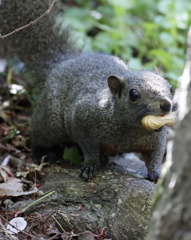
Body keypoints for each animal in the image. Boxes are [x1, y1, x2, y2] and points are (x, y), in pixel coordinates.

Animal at [0, 0, 176, 180]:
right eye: (134, 94)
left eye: (171, 87)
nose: (167, 105)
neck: (133, 128)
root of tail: (61, 64)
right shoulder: (82, 117)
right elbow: (88, 145)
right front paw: (90, 164)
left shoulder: (157, 137)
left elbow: (155, 154)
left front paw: (156, 173)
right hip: (51, 120)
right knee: (39, 135)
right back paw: (43, 152)